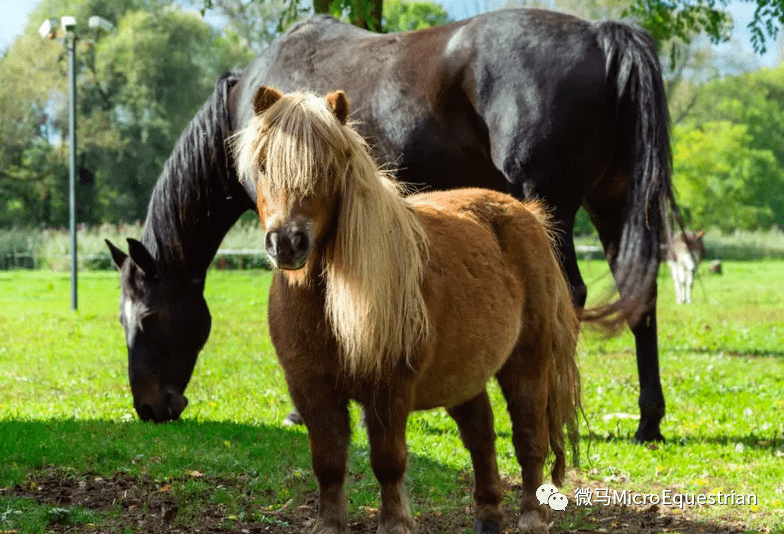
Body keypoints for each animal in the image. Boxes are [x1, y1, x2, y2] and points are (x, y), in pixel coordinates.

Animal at [106, 8, 677, 442]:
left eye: (149, 319)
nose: (149, 408)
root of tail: (601, 35)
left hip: (551, 205)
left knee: (570, 295)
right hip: (612, 204)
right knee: (640, 297)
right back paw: (648, 421)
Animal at [234, 85, 581, 534]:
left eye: (327, 168)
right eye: (262, 165)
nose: (286, 243)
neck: (328, 309)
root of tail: (529, 216)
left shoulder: (389, 391)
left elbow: (388, 461)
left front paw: (395, 522)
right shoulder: (311, 390)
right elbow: (327, 463)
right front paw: (330, 523)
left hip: (527, 363)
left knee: (528, 438)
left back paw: (531, 516)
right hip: (464, 375)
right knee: (481, 437)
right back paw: (488, 515)